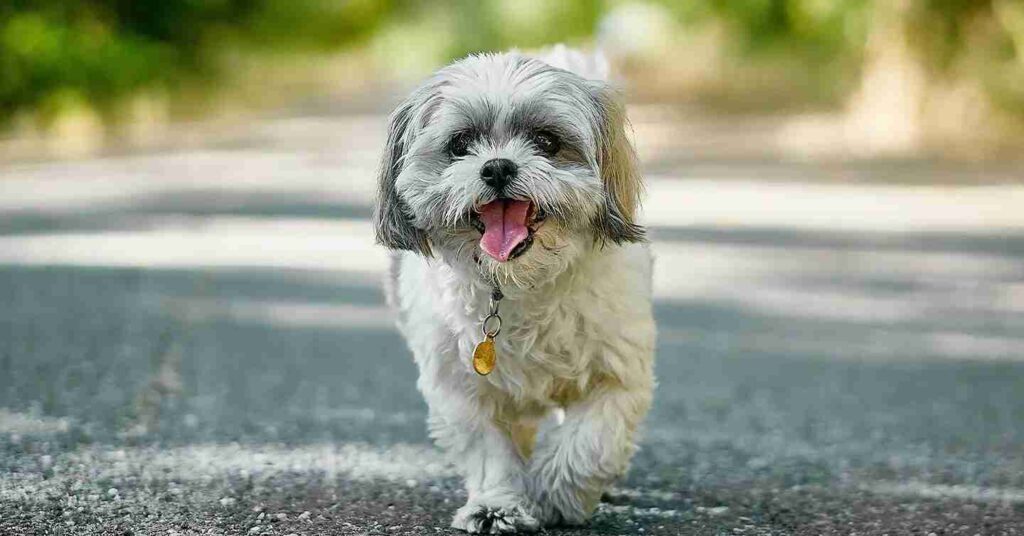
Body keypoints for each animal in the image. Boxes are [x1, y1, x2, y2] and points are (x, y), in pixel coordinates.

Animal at [376, 48, 655, 532]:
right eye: (460, 145)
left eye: (546, 141)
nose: (498, 166)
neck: (519, 284)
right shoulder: (461, 387)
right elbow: (489, 450)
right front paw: (496, 505)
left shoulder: (617, 374)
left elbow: (591, 441)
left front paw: (557, 495)